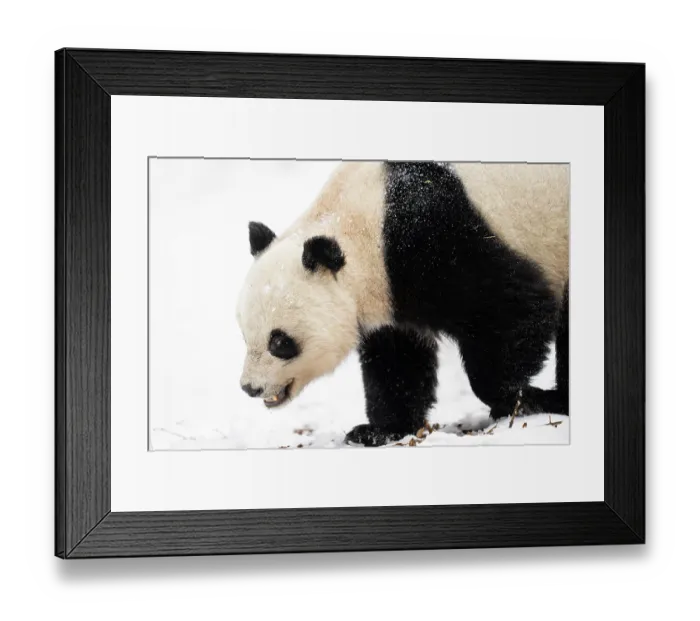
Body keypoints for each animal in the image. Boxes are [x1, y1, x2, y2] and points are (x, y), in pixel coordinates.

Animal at [236, 161, 569, 447]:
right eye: (245, 336)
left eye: (279, 342)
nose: (250, 388)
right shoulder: (388, 297)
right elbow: (397, 361)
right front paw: (379, 430)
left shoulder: (439, 239)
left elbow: (510, 309)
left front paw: (520, 399)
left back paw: (557, 398)